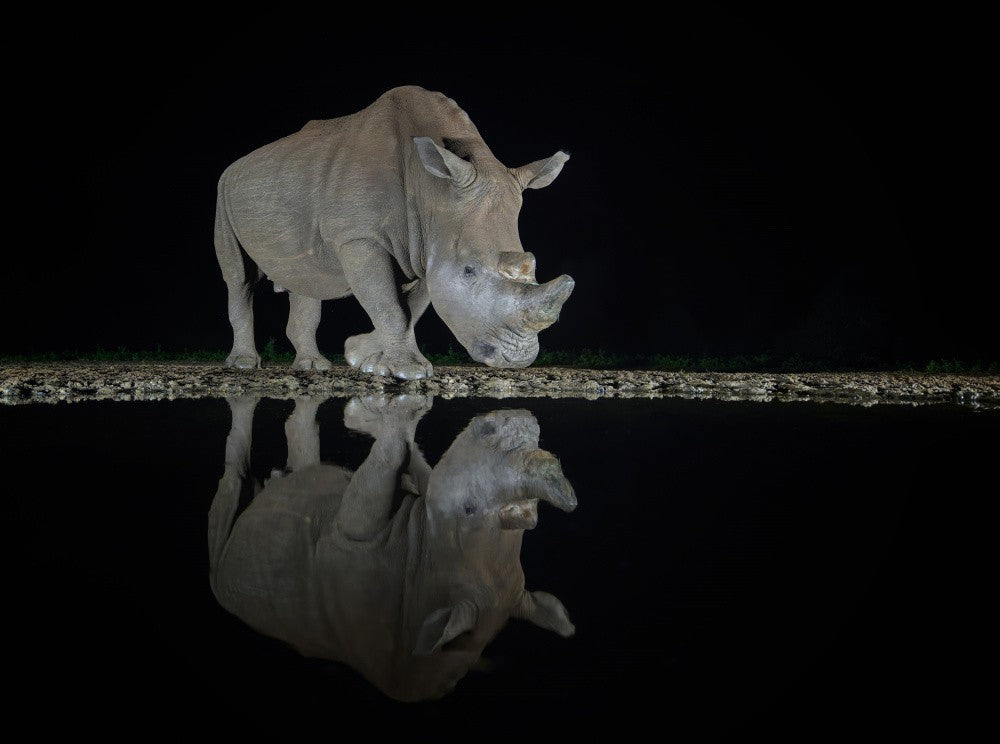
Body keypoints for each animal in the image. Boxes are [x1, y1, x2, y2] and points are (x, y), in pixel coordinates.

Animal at [208, 394, 577, 701]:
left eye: (469, 509)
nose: (509, 420)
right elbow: (419, 469)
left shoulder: (353, 543)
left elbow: (382, 470)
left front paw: (380, 414)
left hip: (232, 583)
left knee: (229, 502)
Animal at [215, 85, 575, 378]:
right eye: (469, 271)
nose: (518, 359)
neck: (434, 189)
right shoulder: (360, 239)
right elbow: (391, 306)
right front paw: (408, 372)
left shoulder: (429, 245)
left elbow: (409, 309)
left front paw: (362, 357)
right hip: (223, 191)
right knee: (238, 279)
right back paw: (245, 365)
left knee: (305, 277)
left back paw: (313, 367)